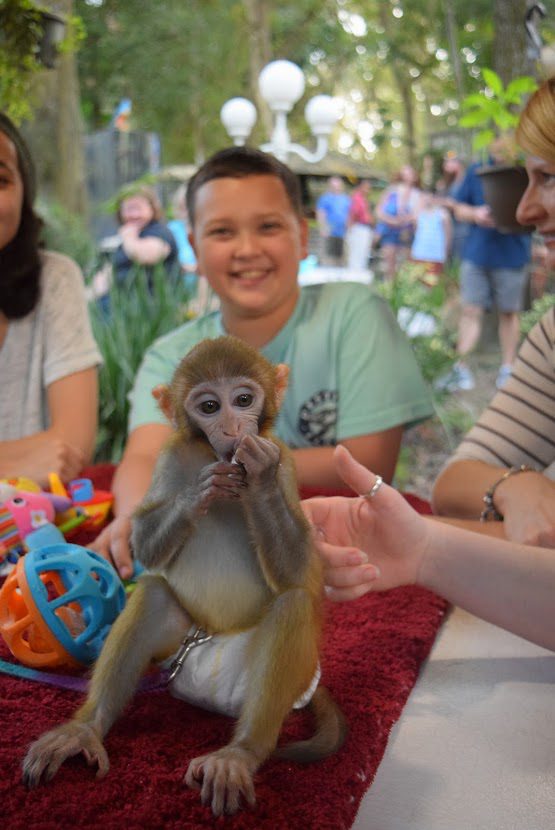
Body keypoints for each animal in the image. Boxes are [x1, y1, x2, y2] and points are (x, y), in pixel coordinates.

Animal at [22, 335, 347, 817]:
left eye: (243, 400)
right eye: (209, 406)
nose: (231, 428)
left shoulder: (287, 462)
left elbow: (298, 573)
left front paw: (260, 475)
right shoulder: (172, 455)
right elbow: (144, 541)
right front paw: (200, 491)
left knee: (291, 604)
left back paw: (240, 754)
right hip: (178, 645)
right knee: (155, 594)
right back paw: (85, 728)